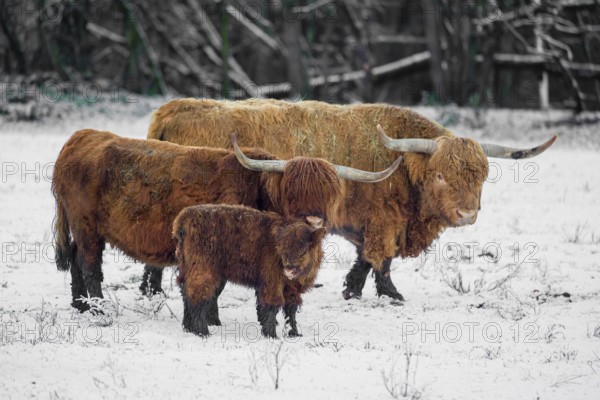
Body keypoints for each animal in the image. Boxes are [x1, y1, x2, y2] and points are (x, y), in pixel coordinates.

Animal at [145, 98, 556, 302]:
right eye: (441, 175)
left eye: (482, 177)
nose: (467, 213)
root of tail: (173, 109)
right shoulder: (383, 222)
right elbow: (382, 260)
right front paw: (391, 295)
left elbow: (364, 260)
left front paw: (351, 289)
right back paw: (152, 290)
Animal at [173, 203, 326, 338]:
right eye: (282, 248)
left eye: (303, 251)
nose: (289, 268)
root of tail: (185, 217)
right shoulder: (272, 283)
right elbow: (272, 306)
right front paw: (271, 335)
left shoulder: (292, 289)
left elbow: (291, 310)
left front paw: (294, 333)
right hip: (202, 271)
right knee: (197, 296)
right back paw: (203, 332)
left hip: (188, 270)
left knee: (186, 294)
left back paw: (189, 327)